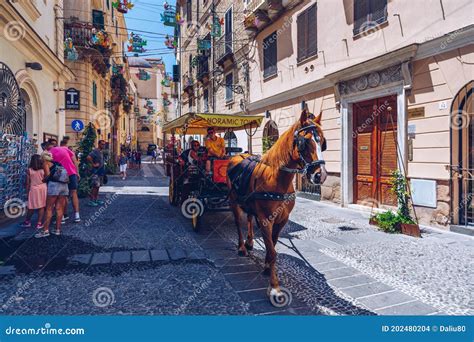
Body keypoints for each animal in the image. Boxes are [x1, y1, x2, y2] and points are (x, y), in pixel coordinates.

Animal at [226, 109, 326, 304]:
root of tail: (238, 156)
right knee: (238, 224)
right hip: (234, 202)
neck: (276, 178)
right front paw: (275, 288)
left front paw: (266, 266)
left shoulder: (282, 220)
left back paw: (250, 242)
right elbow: (272, 251)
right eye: (304, 142)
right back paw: (242, 247)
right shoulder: (266, 220)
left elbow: (272, 244)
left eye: (323, 142)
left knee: (249, 219)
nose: (320, 175)